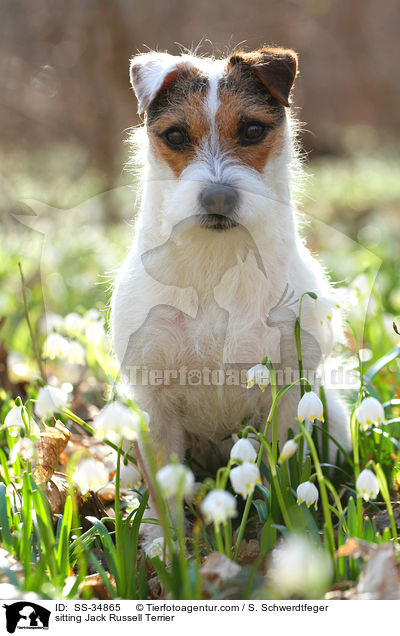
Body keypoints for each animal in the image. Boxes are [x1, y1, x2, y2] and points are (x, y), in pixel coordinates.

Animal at [111, 46, 352, 536]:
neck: (216, 266)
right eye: (176, 135)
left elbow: (282, 475)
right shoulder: (153, 405)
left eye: (253, 129)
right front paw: (163, 544)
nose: (218, 198)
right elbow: (163, 497)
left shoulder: (286, 396)